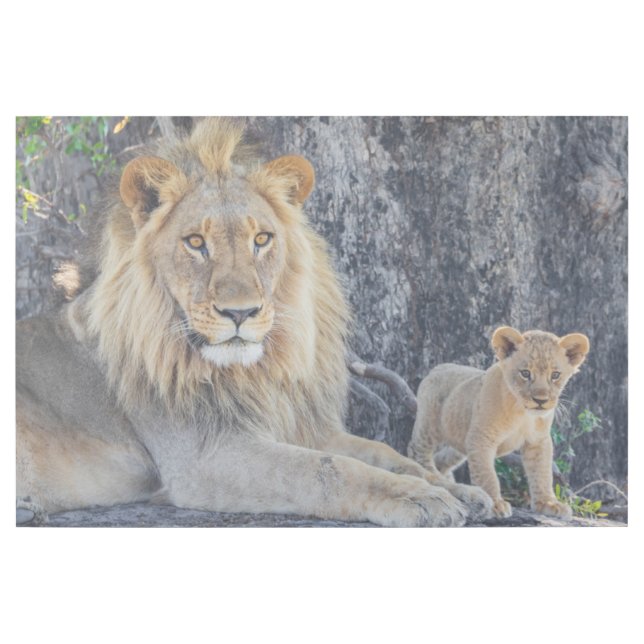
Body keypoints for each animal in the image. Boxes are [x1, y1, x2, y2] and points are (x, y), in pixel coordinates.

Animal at [16, 118, 493, 527]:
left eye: (261, 239)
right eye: (195, 243)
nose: (240, 313)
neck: (256, 374)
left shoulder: (302, 426)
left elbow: (383, 453)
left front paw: (459, 491)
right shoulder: (206, 457)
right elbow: (329, 470)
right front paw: (420, 498)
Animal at [407, 326, 590, 519]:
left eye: (555, 375)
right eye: (525, 373)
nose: (540, 400)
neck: (522, 413)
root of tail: (438, 367)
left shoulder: (538, 441)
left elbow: (542, 473)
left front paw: (547, 503)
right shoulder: (481, 438)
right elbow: (487, 475)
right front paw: (494, 504)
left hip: (460, 440)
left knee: (443, 458)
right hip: (430, 425)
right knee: (416, 450)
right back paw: (432, 475)